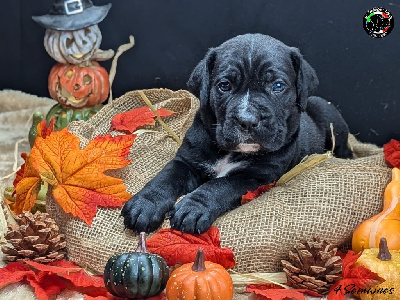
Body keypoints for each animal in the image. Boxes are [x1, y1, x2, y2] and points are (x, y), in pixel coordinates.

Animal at [120, 32, 352, 234]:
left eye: (278, 86)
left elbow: (220, 185)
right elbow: (166, 178)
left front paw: (192, 209)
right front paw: (144, 204)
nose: (247, 120)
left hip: (328, 115)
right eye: (224, 85)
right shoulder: (187, 160)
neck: (231, 152)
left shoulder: (254, 177)